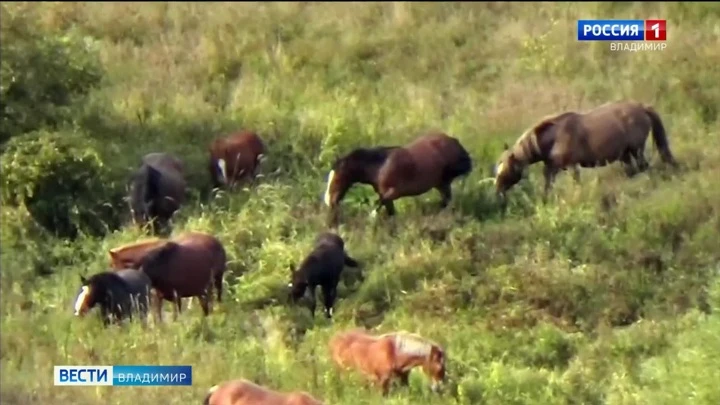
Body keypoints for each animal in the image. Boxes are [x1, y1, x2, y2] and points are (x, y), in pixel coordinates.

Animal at [322, 130, 472, 223]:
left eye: (337, 178)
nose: (329, 201)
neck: (380, 166)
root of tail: (455, 142)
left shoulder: (394, 192)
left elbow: (379, 203)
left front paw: (371, 218)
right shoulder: (387, 195)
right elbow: (390, 212)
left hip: (444, 180)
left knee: (446, 201)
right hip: (441, 184)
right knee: (446, 201)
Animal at [492, 100, 676, 201]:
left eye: (507, 168)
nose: (498, 190)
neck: (554, 138)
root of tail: (642, 107)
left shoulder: (572, 166)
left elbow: (576, 183)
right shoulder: (551, 168)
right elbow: (548, 186)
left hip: (636, 150)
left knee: (643, 167)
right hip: (626, 154)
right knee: (634, 170)